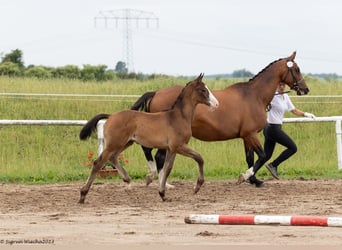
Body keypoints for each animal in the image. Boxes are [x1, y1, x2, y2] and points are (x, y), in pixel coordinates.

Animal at [78, 74, 219, 203]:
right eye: (203, 90)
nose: (216, 104)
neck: (178, 117)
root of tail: (111, 116)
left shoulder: (171, 149)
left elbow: (167, 169)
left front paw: (163, 194)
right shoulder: (179, 146)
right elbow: (199, 158)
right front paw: (197, 186)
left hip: (126, 143)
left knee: (112, 157)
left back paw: (127, 180)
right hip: (115, 143)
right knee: (98, 162)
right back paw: (83, 194)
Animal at [132, 51, 310, 187]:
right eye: (297, 69)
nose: (305, 89)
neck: (254, 95)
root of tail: (156, 93)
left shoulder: (246, 136)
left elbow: (250, 158)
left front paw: (254, 180)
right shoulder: (251, 134)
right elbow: (263, 155)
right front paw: (245, 176)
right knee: (156, 155)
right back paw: (161, 181)